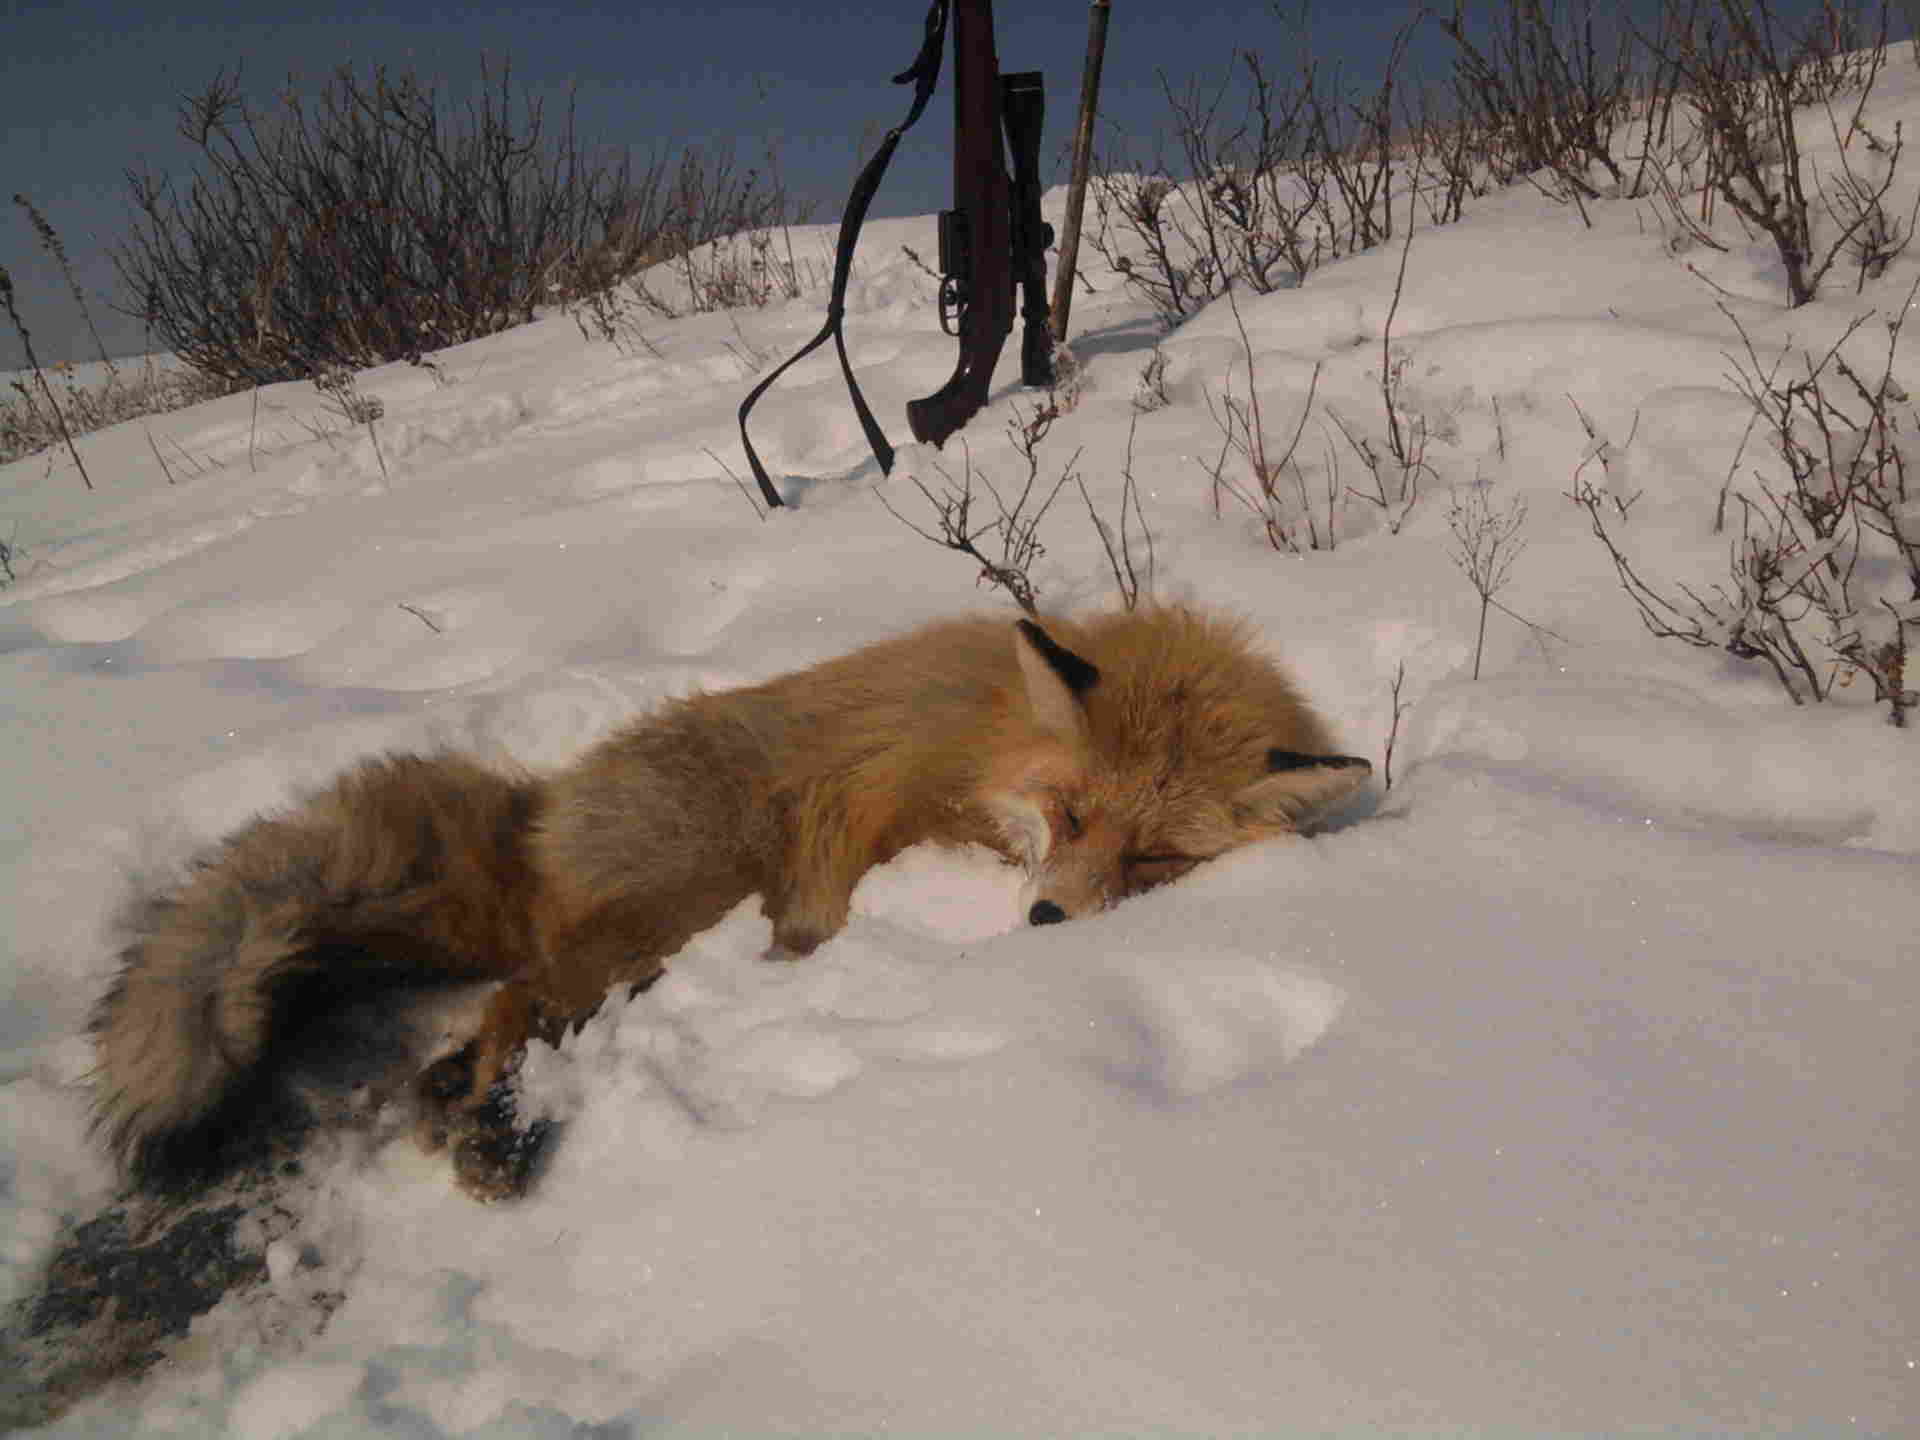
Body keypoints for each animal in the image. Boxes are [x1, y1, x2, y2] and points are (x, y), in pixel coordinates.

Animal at [90, 610, 1374, 1205]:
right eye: (1067, 814)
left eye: (1155, 859)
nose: (1050, 929)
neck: (983, 738)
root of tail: (545, 802)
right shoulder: (898, 807)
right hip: (686, 902)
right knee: (516, 1002)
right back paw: (487, 1127)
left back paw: (458, 1101)